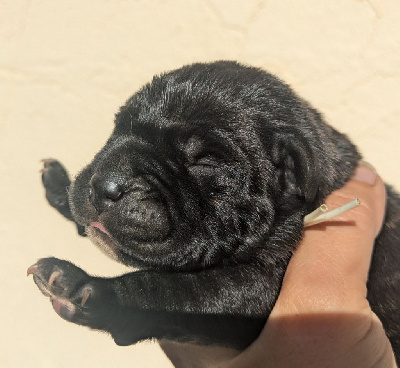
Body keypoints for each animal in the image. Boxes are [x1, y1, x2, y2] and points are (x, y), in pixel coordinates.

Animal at [29, 61, 400, 364]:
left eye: (205, 161)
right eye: (117, 128)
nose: (106, 184)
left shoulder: (258, 288)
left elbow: (175, 291)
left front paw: (87, 289)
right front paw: (60, 185)